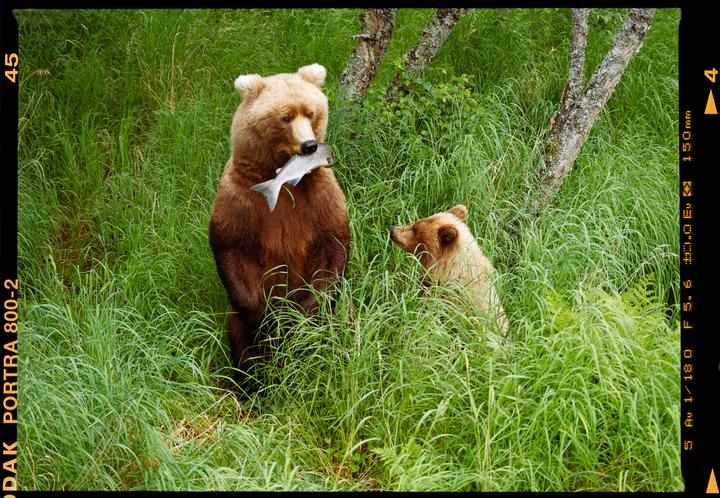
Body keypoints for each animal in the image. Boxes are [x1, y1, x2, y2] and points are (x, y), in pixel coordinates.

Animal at [209, 63, 350, 387]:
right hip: (234, 324)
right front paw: (268, 319)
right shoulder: (240, 200)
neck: (283, 180)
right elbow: (231, 249)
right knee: (241, 342)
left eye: (310, 112)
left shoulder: (320, 196)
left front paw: (303, 316)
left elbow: (333, 245)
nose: (310, 145)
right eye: (285, 117)